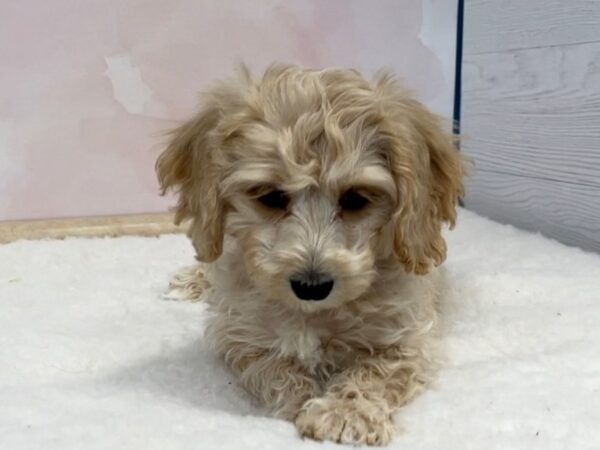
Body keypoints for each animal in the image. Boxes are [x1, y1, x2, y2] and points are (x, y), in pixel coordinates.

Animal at [157, 64, 466, 446]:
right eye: (271, 197)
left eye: (355, 199)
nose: (311, 286)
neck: (314, 313)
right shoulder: (237, 335)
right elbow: (269, 366)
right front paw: (301, 396)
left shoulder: (407, 339)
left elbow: (376, 370)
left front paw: (345, 412)